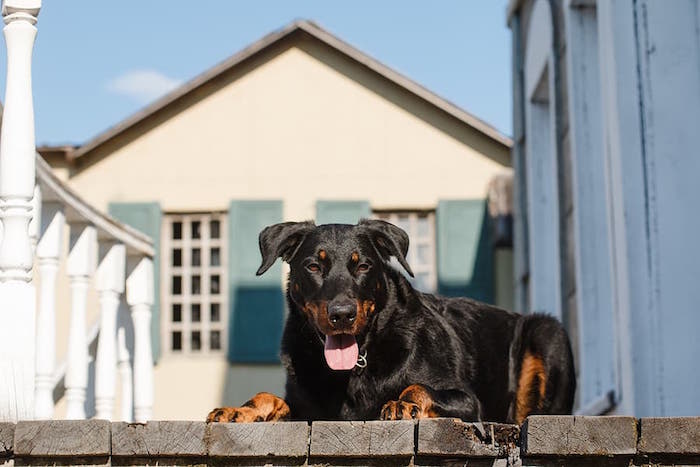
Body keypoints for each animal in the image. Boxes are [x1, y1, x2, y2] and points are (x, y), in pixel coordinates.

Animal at [206, 219, 576, 424]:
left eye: (362, 265)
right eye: (313, 266)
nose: (342, 314)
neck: (356, 364)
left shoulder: (468, 401)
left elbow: (418, 386)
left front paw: (403, 403)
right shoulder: (305, 406)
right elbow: (267, 395)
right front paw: (239, 410)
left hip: (547, 333)